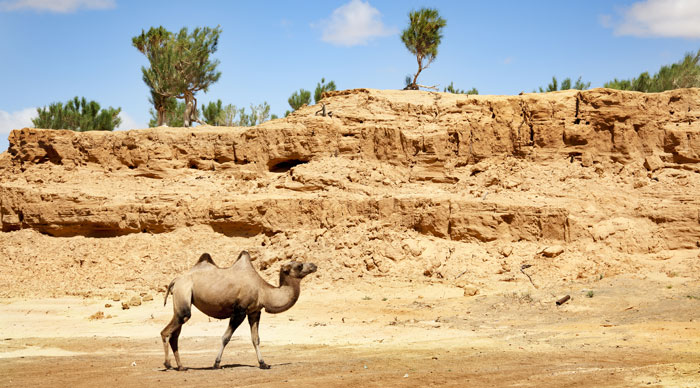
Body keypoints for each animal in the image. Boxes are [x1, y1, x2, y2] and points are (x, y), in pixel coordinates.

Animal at [161, 250, 318, 372]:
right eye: (299, 265)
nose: (314, 265)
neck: (263, 291)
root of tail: (175, 280)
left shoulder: (254, 312)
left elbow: (256, 339)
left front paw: (263, 364)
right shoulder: (239, 311)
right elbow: (226, 337)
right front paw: (216, 364)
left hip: (180, 302)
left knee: (175, 334)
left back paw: (181, 367)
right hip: (184, 294)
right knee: (168, 330)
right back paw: (167, 364)